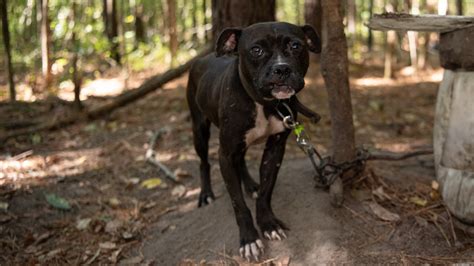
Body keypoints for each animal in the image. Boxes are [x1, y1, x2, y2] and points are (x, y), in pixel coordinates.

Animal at [187, 22, 320, 260]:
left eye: (296, 46)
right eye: (256, 50)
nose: (282, 69)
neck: (263, 103)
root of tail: (200, 59)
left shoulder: (275, 148)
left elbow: (266, 191)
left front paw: (268, 224)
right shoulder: (225, 154)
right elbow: (238, 203)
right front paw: (249, 239)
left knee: (240, 161)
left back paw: (249, 185)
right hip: (199, 129)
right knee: (204, 162)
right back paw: (206, 194)